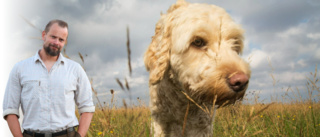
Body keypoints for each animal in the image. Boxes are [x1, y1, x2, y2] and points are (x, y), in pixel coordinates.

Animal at [144, 0, 251, 136]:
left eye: (235, 44)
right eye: (198, 41)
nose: (241, 81)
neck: (183, 101)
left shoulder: (201, 125)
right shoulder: (160, 121)